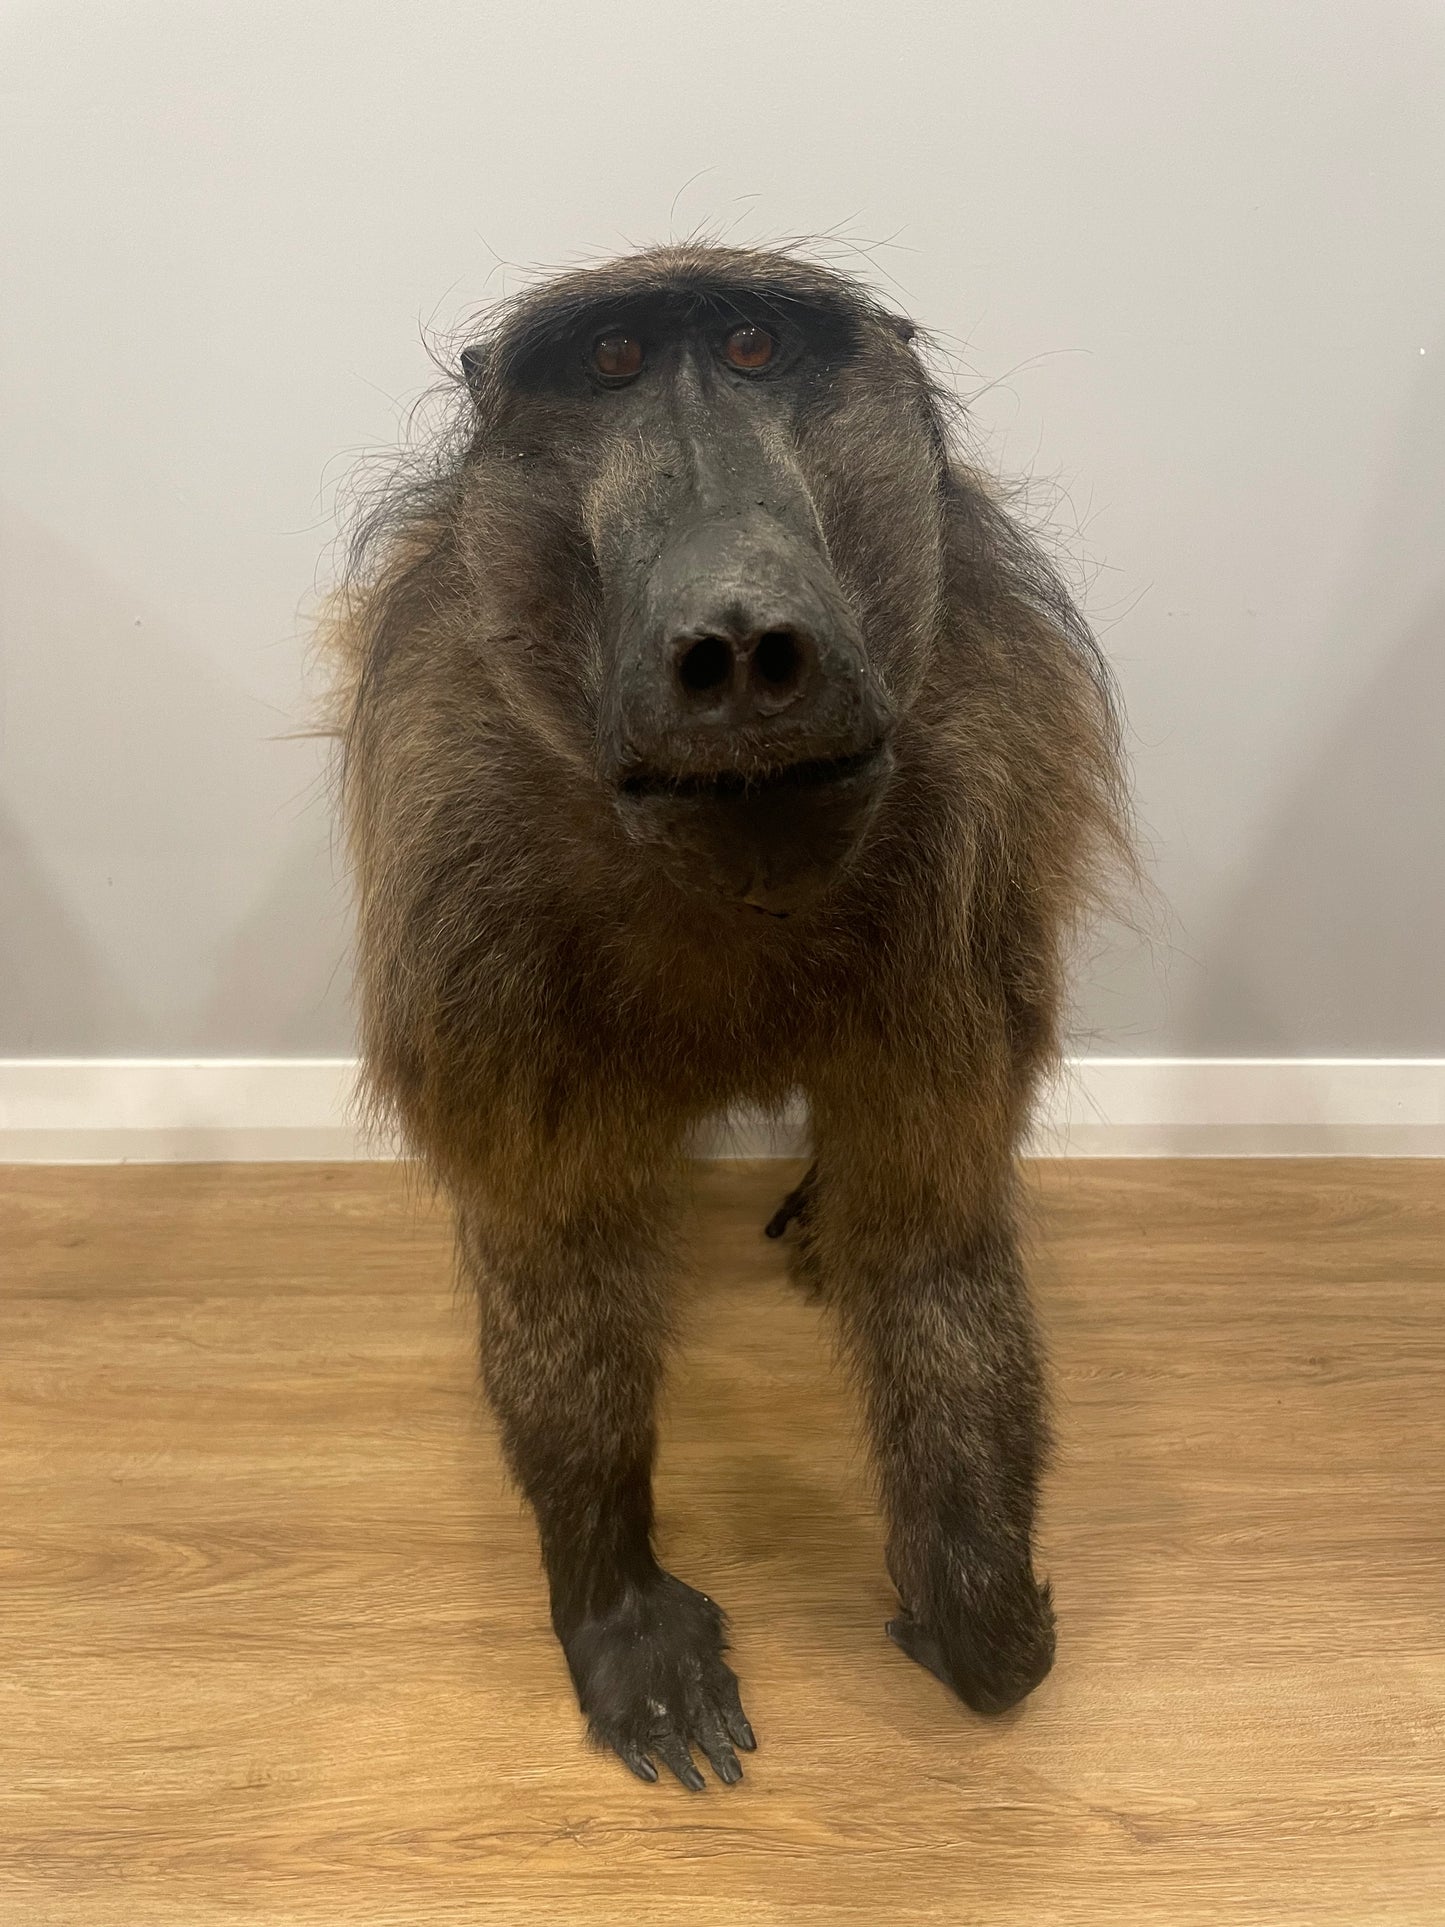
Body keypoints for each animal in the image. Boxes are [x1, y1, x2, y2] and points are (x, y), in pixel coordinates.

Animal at [328, 245, 1129, 1792]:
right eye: (613, 361)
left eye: (758, 346)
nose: (744, 641)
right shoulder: (468, 889)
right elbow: (557, 1255)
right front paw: (619, 1608)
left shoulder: (970, 841)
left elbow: (932, 1244)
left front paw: (972, 1603)